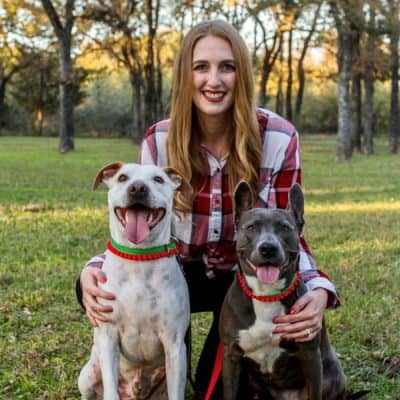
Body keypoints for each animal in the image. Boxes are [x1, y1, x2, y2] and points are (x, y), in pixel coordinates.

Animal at [79, 163, 191, 400]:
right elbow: (111, 391)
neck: (139, 258)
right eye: (122, 177)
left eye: (158, 179)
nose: (138, 188)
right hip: (87, 376)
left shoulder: (175, 345)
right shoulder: (108, 338)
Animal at [219, 182, 346, 400]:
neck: (266, 295)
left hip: (332, 375)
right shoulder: (231, 355)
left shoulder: (310, 356)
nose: (268, 248)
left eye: (285, 228)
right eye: (251, 227)